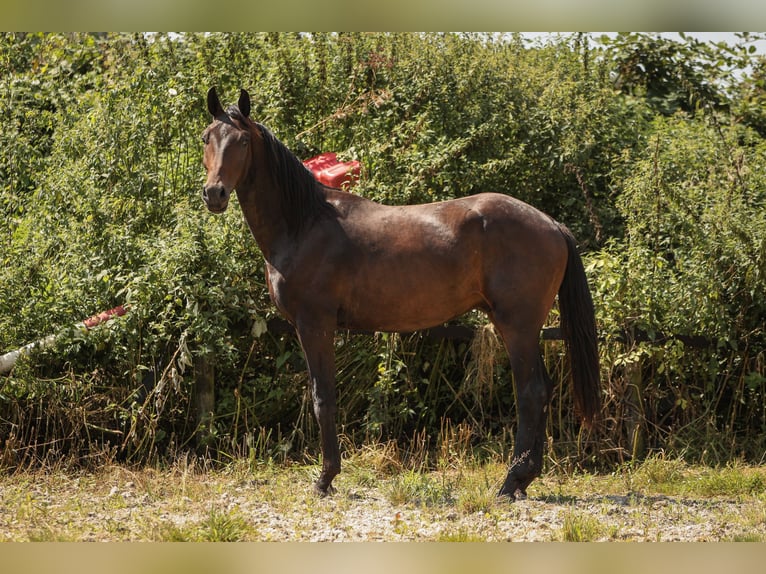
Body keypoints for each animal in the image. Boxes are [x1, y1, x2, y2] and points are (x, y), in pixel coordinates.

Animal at [201, 86, 604, 500]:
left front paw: (326, 478)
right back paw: (524, 480)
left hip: (518, 326)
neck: (304, 223)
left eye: (243, 141)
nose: (214, 194)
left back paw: (511, 482)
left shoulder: (314, 324)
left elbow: (322, 398)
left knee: (531, 392)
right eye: (206, 138)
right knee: (541, 390)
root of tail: (551, 224)